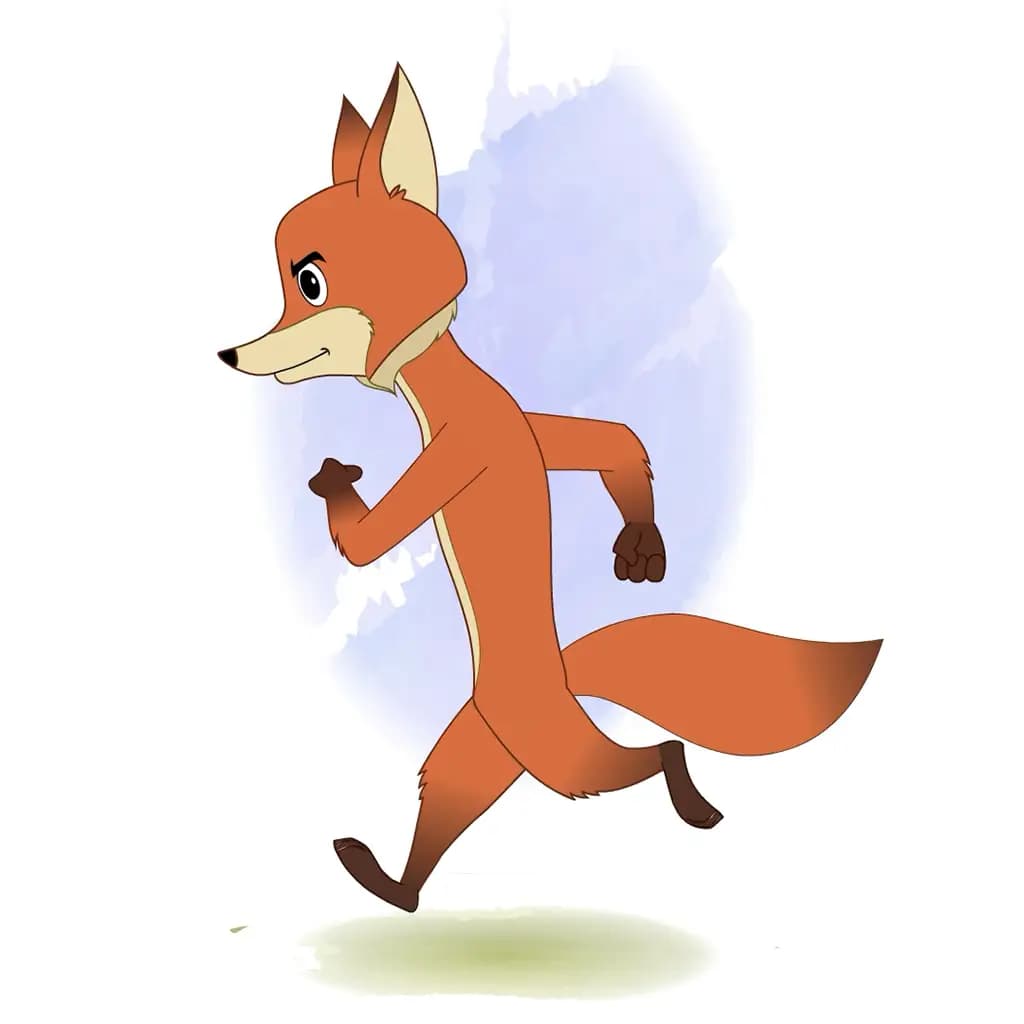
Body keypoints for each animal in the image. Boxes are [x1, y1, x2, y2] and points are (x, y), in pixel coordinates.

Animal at [217, 64, 882, 913]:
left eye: (308, 281)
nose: (231, 355)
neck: (443, 385)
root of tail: (561, 677)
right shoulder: (530, 427)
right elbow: (616, 440)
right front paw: (641, 541)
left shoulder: (458, 452)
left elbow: (368, 545)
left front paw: (335, 484)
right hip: (483, 735)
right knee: (454, 790)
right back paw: (394, 889)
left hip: (543, 744)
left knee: (648, 753)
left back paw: (688, 798)